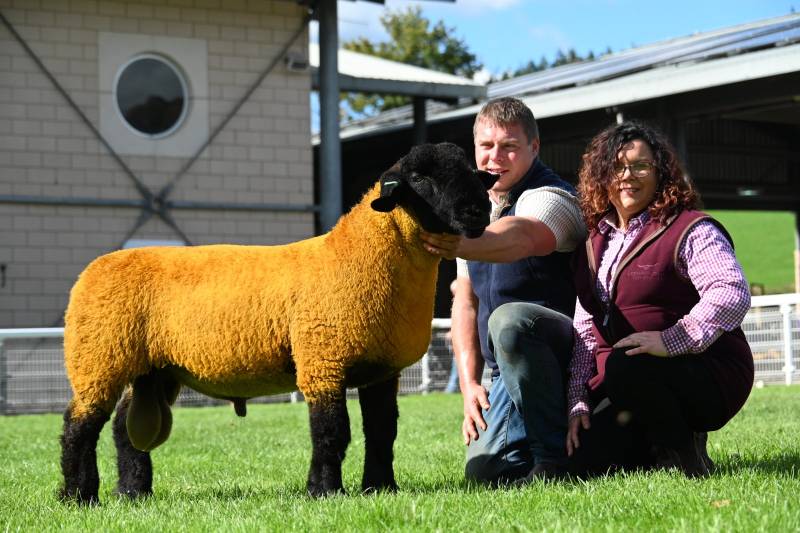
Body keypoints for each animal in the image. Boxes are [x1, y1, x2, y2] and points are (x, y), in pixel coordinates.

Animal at [59, 142, 495, 504]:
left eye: (472, 171)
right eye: (419, 178)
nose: (479, 211)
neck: (359, 257)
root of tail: (94, 269)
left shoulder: (381, 370)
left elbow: (382, 431)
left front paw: (381, 488)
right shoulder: (322, 361)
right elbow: (331, 431)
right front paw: (325, 491)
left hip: (153, 369)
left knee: (124, 431)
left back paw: (132, 493)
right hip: (98, 358)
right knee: (79, 426)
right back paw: (78, 497)